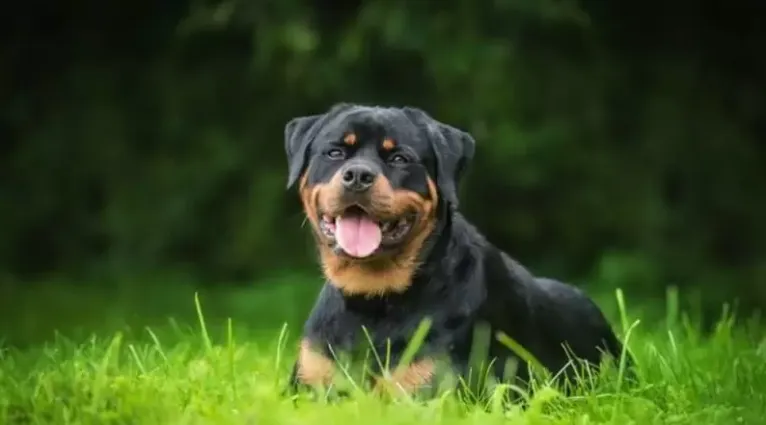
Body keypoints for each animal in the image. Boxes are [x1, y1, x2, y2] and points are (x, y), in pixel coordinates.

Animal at [282, 102, 632, 398]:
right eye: (334, 152)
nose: (357, 175)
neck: (372, 300)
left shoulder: (430, 389)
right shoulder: (308, 385)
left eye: (399, 158)